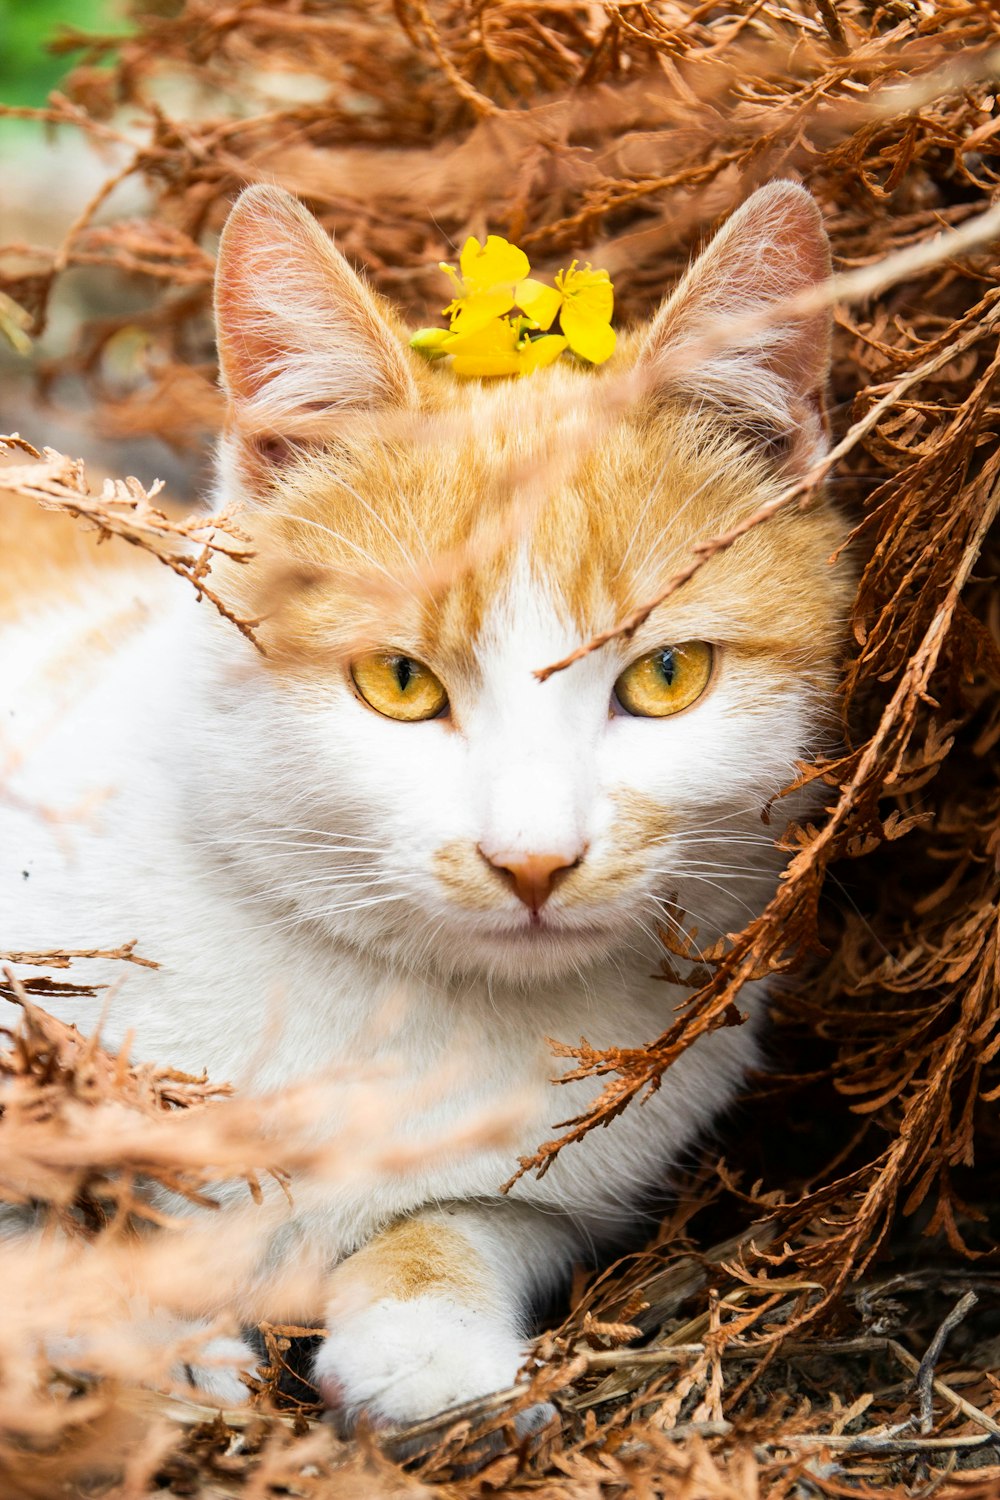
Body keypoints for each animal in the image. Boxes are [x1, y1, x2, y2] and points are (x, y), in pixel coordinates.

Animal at [1, 178, 851, 1428]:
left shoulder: (561, 1185)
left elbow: (466, 1222)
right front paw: (142, 1335)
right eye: (399, 683)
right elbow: (60, 1218)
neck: (405, 1006)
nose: (535, 860)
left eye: (666, 675)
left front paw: (424, 1336)